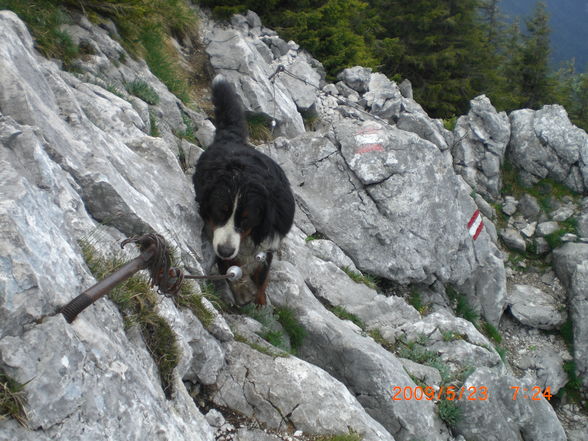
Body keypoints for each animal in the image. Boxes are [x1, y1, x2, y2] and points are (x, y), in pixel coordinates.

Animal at [192, 74, 294, 304]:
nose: (225, 250)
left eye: (247, 220)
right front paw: (239, 287)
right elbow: (227, 265)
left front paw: (260, 299)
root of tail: (232, 139)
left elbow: (262, 272)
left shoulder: (270, 237)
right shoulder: (214, 228)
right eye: (219, 212)